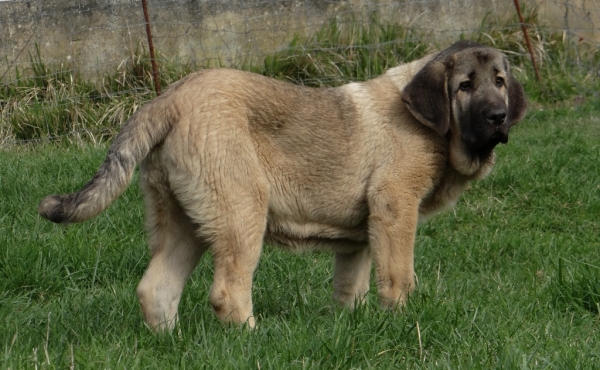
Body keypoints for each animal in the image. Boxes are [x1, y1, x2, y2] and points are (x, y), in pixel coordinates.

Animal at [38, 40, 524, 332]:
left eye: (499, 82)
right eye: (464, 86)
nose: (499, 117)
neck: (436, 127)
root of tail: (167, 99)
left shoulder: (361, 237)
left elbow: (351, 288)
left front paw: (355, 325)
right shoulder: (395, 208)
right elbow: (399, 277)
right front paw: (399, 321)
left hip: (184, 221)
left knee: (155, 289)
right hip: (241, 213)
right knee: (227, 292)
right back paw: (252, 338)